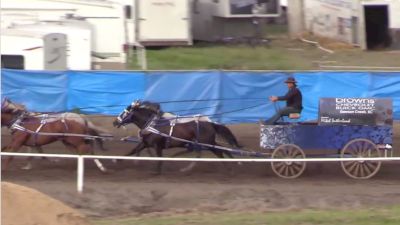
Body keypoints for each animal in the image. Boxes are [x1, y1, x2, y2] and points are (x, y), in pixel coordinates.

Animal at [111, 100, 241, 174]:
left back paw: (229, 166)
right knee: (216, 150)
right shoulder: (145, 143)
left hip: (207, 143)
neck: (153, 125)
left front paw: (157, 171)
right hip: (206, 142)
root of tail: (211, 124)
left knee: (218, 152)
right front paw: (116, 160)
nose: (114, 122)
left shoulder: (157, 145)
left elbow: (159, 158)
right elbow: (133, 150)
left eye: (125, 113)